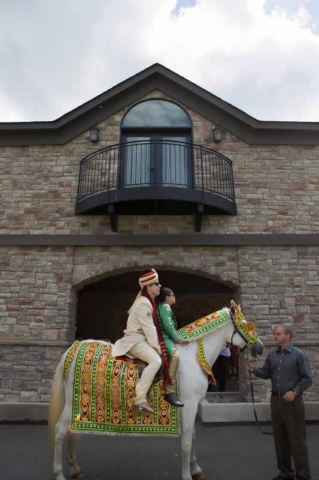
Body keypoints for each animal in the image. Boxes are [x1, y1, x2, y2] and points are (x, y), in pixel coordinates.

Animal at [49, 302, 264, 478]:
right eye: (246, 324)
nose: (260, 348)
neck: (193, 356)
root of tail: (74, 348)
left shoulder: (193, 405)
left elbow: (193, 436)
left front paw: (196, 470)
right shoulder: (189, 404)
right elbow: (186, 442)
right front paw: (187, 475)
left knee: (70, 430)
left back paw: (75, 468)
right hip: (73, 401)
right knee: (60, 430)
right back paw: (59, 473)